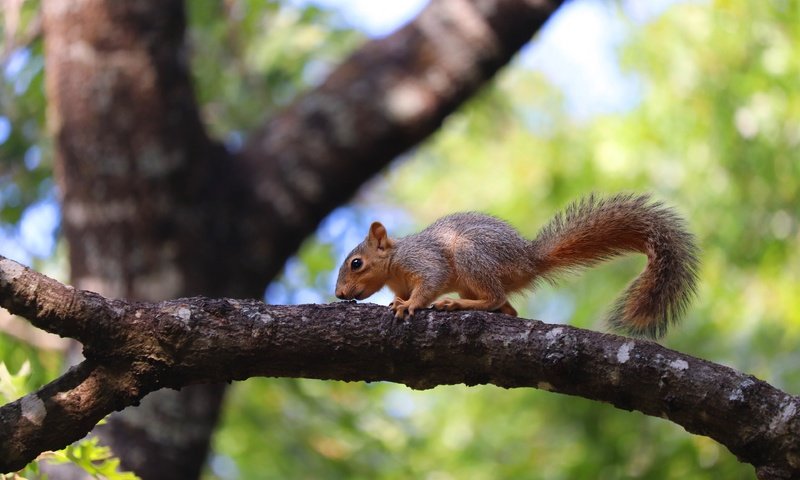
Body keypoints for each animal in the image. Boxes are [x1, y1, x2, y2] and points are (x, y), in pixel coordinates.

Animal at [334, 193, 696, 340]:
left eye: (356, 263)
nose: (338, 295)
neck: (394, 263)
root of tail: (528, 260)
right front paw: (398, 301)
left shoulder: (423, 259)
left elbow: (430, 281)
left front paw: (409, 305)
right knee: (507, 308)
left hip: (472, 255)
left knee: (495, 298)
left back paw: (457, 304)